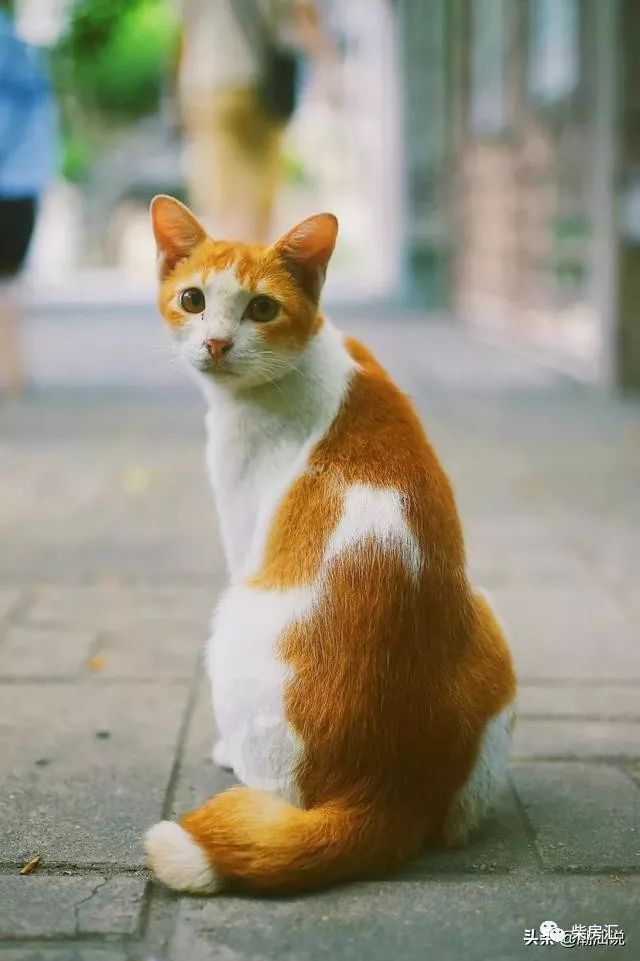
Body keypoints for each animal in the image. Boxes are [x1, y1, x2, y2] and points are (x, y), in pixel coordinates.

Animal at [144, 199, 516, 896]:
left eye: (262, 308)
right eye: (193, 299)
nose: (215, 342)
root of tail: (386, 792)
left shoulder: (242, 529)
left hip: (233, 619)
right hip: (489, 623)